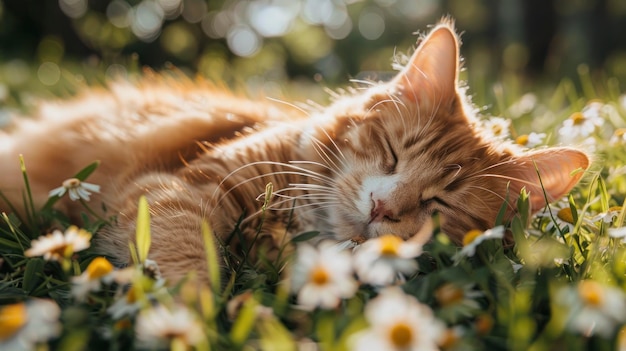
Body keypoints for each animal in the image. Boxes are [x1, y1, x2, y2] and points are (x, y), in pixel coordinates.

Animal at [0, 18, 584, 284]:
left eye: (439, 203)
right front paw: (194, 313)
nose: (382, 207)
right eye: (391, 154)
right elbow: (187, 251)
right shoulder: (181, 187)